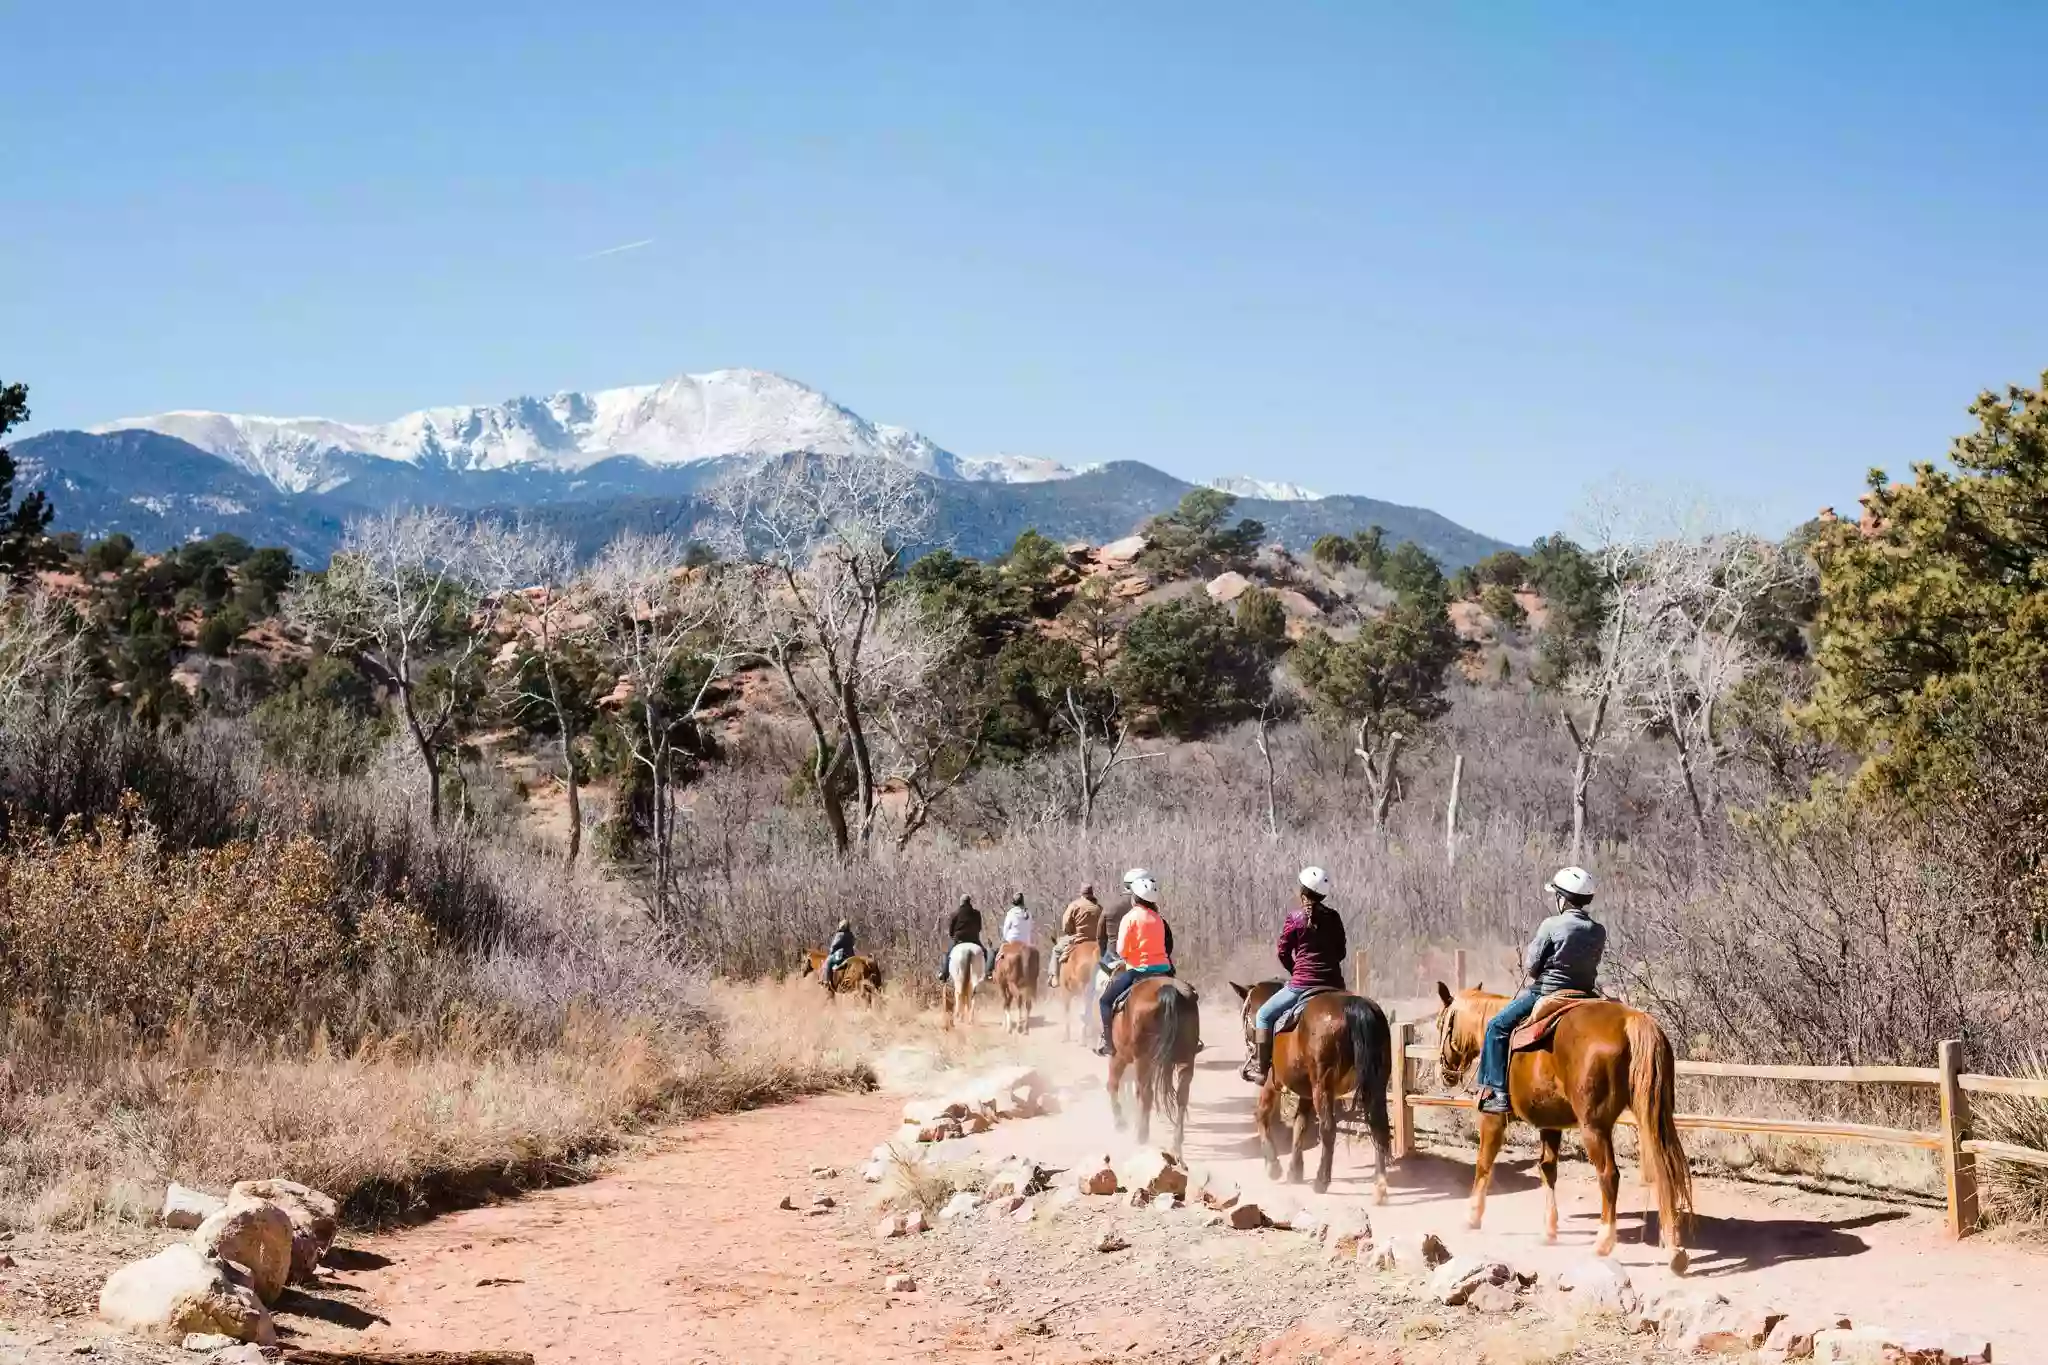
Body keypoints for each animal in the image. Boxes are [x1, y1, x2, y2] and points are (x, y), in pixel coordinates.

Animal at [1105, 978, 1196, 1162]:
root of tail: (1166, 990)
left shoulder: (1120, 1056)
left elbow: (1113, 1084)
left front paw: (1120, 1122)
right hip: (1186, 1058)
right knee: (1182, 1097)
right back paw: (1176, 1143)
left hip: (1141, 1059)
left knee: (1145, 1093)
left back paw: (1141, 1135)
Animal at [1228, 982, 1392, 1195]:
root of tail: (1352, 1007)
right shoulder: (1306, 1093)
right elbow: (1301, 1124)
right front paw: (1295, 1171)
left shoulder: (1273, 1081)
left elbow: (1262, 1113)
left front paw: (1273, 1166)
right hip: (1375, 1083)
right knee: (1378, 1125)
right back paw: (1380, 1184)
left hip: (1323, 1086)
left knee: (1328, 1128)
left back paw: (1321, 1180)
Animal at [1433, 982, 1687, 1268]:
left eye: (1441, 1023)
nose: (1445, 1073)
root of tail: (1630, 1020)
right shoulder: (1550, 1125)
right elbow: (1547, 1170)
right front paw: (1549, 1231)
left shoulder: (1493, 1118)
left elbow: (1483, 1164)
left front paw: (1471, 1217)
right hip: (1654, 1115)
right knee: (1664, 1169)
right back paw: (1674, 1250)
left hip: (1594, 1127)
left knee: (1609, 1176)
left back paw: (1603, 1243)